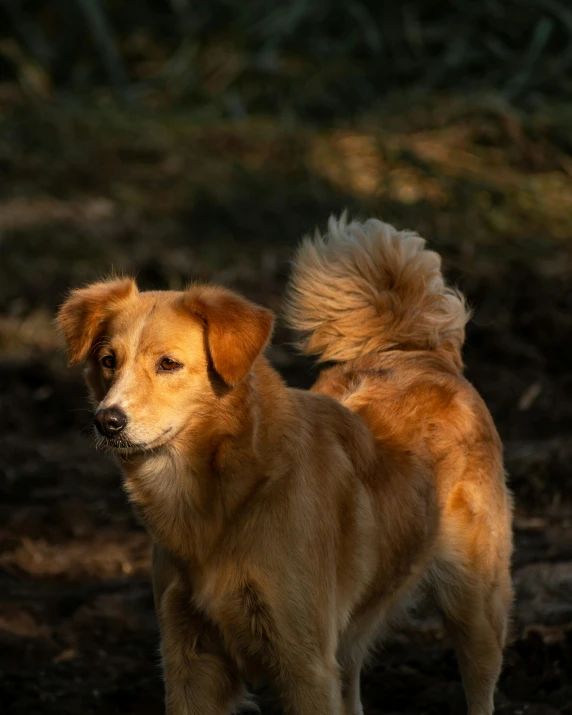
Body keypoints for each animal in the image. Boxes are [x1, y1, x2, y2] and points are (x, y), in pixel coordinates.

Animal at [58, 217, 512, 715]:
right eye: (107, 361)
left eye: (168, 364)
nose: (108, 421)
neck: (222, 496)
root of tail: (421, 353)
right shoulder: (188, 661)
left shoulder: (305, 664)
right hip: (350, 636)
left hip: (475, 605)